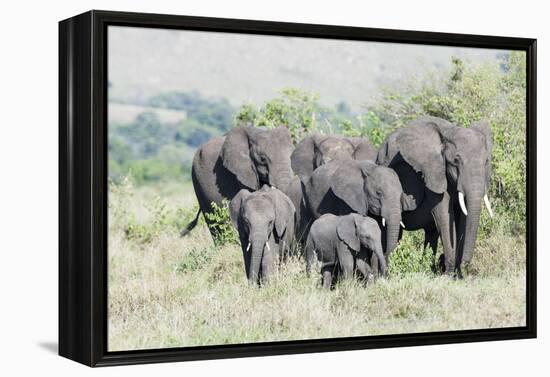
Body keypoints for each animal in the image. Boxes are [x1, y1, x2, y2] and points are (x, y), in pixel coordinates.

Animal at [380, 114, 496, 274]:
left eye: (486, 161)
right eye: (456, 161)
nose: (466, 264)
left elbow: (463, 216)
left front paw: (456, 274)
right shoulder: (433, 172)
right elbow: (444, 215)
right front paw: (449, 273)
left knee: (430, 233)